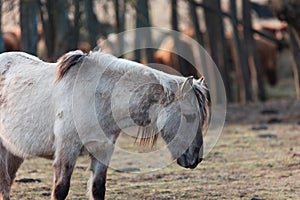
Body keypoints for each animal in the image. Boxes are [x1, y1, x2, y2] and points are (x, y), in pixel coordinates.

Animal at [0, 49, 209, 198]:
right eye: (190, 116)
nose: (196, 158)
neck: (96, 96)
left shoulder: (103, 150)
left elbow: (98, 188)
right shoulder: (67, 150)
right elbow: (61, 189)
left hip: (15, 151)